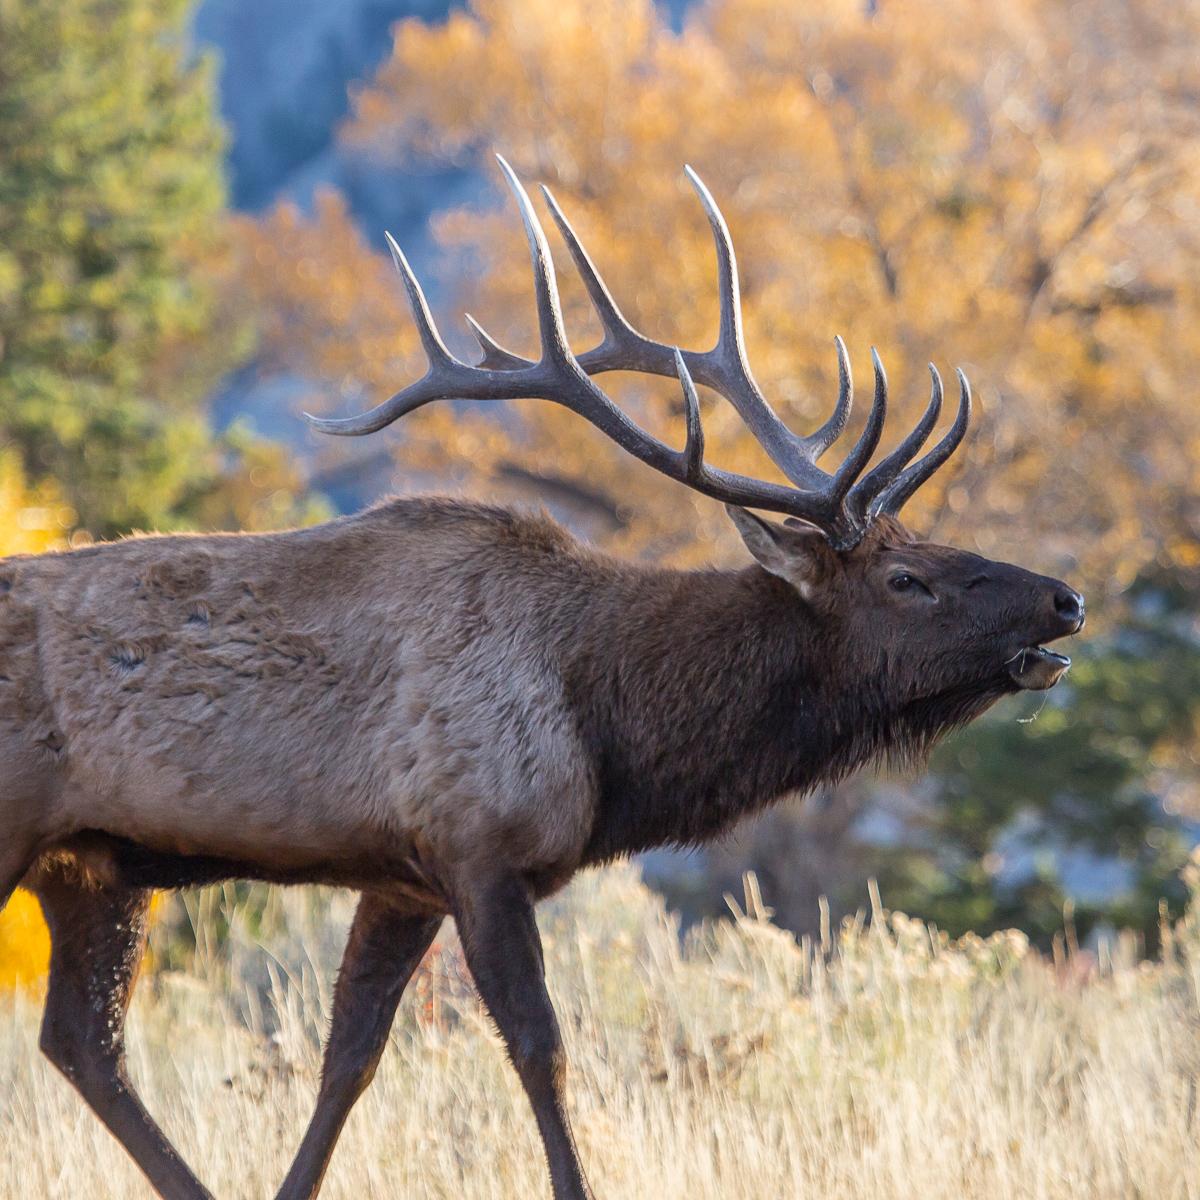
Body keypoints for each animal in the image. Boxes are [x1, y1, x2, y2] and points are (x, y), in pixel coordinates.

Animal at [0, 157, 1084, 1200]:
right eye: (908, 580)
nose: (1065, 598)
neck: (607, 725)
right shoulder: (479, 843)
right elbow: (539, 1049)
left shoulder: (405, 873)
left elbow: (349, 1057)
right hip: (26, 831)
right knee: (80, 1039)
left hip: (91, 862)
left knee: (82, 1042)